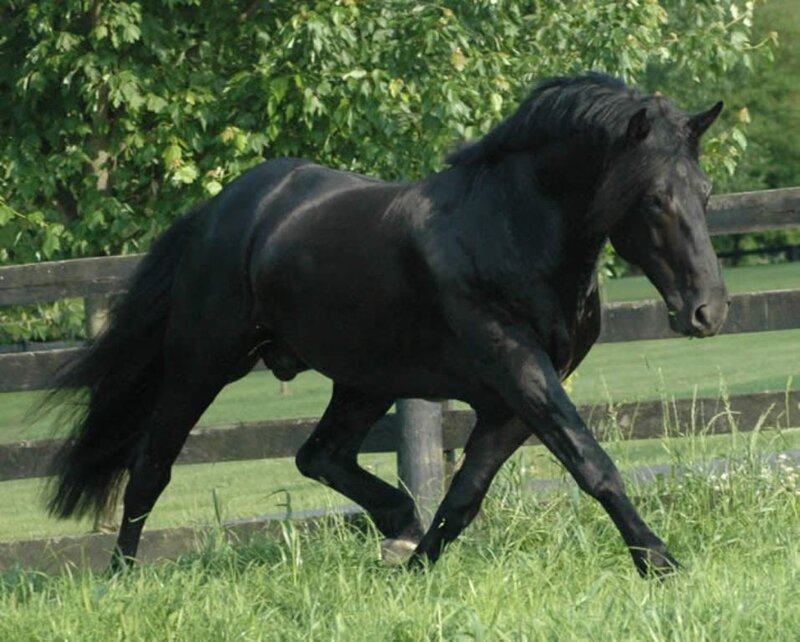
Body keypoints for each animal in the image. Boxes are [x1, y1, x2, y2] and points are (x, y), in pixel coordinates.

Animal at [45, 72, 728, 576]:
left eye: (705, 192)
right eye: (654, 199)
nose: (708, 310)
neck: (510, 231)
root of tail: (221, 210)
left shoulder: (512, 398)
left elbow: (464, 495)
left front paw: (418, 569)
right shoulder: (519, 371)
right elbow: (592, 463)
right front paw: (661, 563)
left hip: (365, 381)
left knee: (318, 455)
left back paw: (399, 528)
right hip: (202, 363)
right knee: (151, 468)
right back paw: (120, 578)